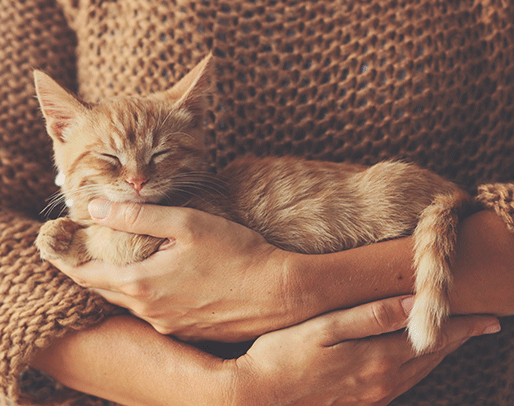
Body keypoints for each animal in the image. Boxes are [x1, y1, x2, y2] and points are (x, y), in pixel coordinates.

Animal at [34, 54, 468, 356]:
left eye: (160, 154)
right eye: (109, 157)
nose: (137, 181)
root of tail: (451, 189)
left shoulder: (178, 224)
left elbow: (113, 238)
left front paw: (72, 238)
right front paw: (60, 228)